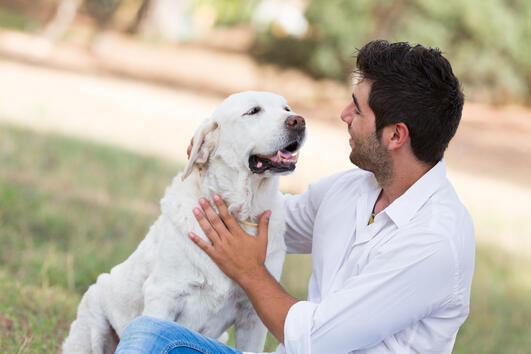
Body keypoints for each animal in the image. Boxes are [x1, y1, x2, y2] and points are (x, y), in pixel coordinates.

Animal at [61, 92, 308, 354]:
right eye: (253, 111)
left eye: (287, 108)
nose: (298, 121)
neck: (240, 212)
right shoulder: (163, 294)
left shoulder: (253, 317)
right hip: (94, 316)